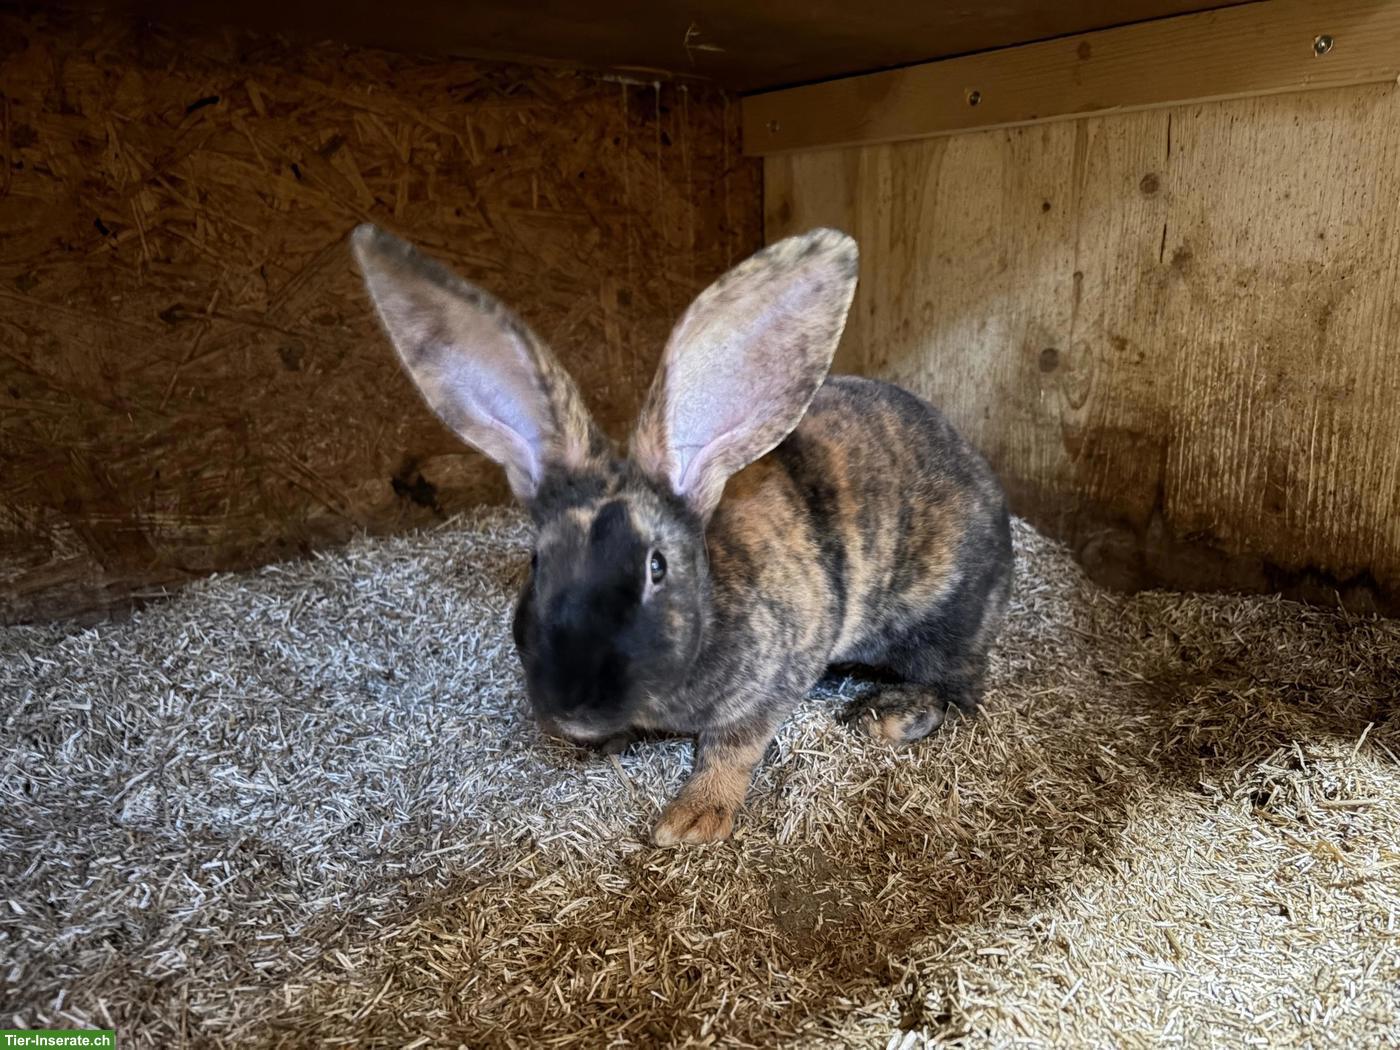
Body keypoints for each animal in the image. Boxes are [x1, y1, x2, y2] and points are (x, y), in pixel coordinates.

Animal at [352, 224, 1013, 847]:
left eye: (657, 568)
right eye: (536, 562)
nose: (573, 710)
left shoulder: (775, 679)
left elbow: (733, 746)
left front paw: (692, 820)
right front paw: (613, 746)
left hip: (938, 620)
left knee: (959, 690)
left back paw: (885, 716)